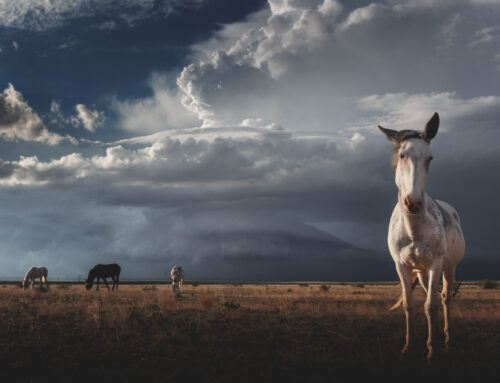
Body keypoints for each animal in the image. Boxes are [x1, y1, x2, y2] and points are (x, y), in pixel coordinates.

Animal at [380, 113, 466, 364]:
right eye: (402, 155)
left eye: (430, 158)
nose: (413, 203)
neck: (413, 230)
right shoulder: (401, 266)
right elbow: (410, 305)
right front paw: (408, 347)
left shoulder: (436, 263)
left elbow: (431, 306)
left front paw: (432, 350)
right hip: (421, 270)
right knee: (432, 295)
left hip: (447, 267)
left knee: (444, 298)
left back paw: (446, 338)